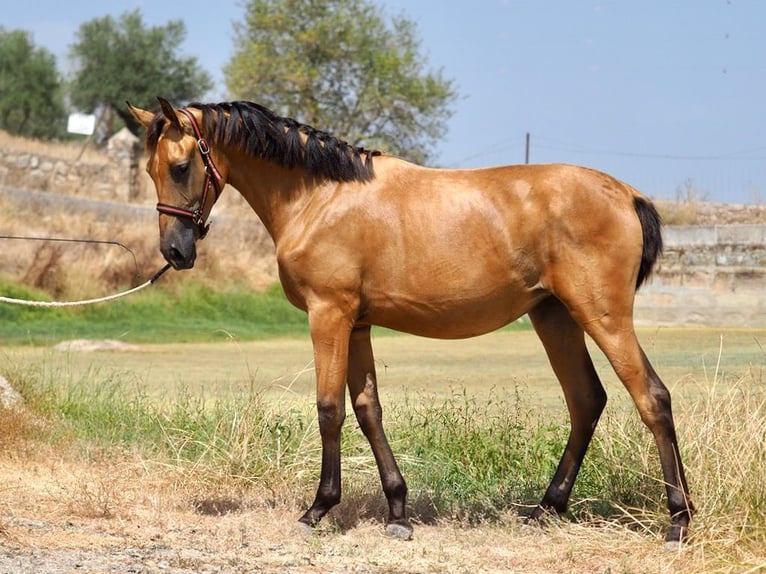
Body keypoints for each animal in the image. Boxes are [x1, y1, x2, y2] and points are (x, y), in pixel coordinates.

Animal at [130, 98, 696, 548]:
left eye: (180, 166)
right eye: (151, 171)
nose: (175, 252)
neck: (320, 197)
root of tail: (626, 193)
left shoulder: (329, 315)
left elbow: (329, 410)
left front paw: (318, 509)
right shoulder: (357, 324)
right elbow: (368, 410)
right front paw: (398, 512)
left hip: (602, 315)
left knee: (651, 397)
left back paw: (678, 521)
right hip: (553, 316)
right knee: (586, 400)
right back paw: (546, 509)